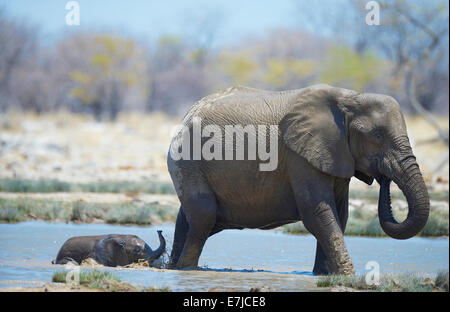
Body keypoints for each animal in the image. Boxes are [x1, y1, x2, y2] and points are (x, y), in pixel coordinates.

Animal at [167, 84, 430, 274]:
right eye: (376, 135)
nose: (384, 178)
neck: (350, 97)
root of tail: (186, 115)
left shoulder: (335, 155)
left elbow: (340, 214)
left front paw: (325, 275)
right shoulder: (300, 156)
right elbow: (317, 211)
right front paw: (347, 276)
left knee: (191, 219)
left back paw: (171, 266)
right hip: (186, 161)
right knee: (204, 216)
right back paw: (186, 270)